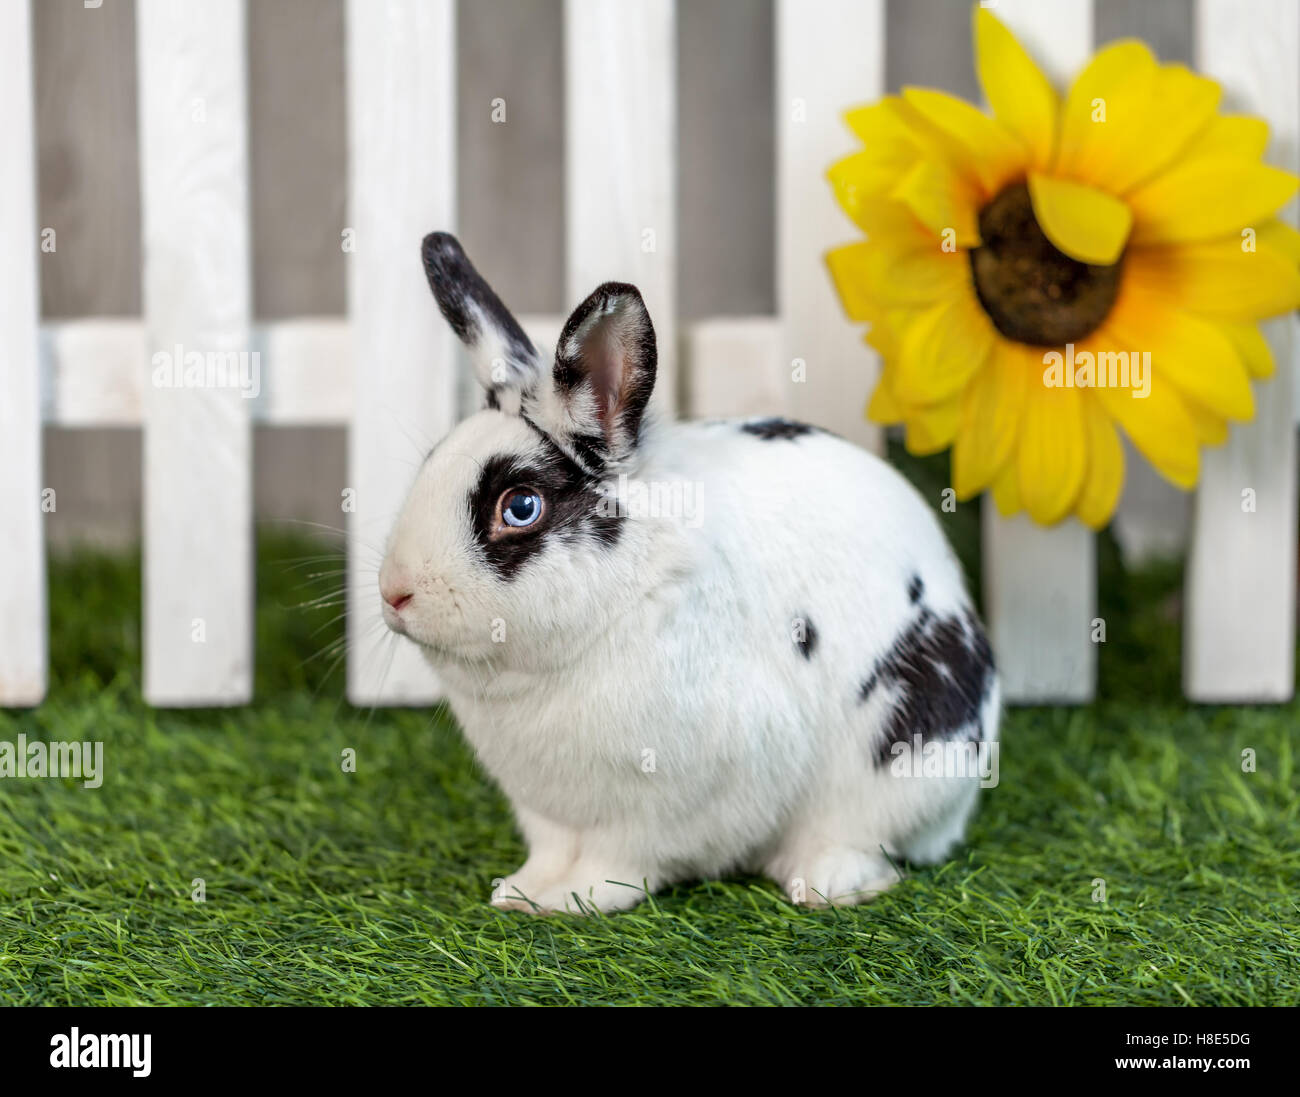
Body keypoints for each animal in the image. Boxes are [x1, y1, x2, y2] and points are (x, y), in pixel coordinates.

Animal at [378, 231, 1001, 915]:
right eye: (430, 463)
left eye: (520, 507)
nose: (394, 593)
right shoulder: (547, 813)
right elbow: (551, 852)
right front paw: (522, 892)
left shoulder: (660, 806)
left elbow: (620, 860)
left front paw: (575, 899)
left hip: (908, 748)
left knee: (867, 838)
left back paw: (823, 882)